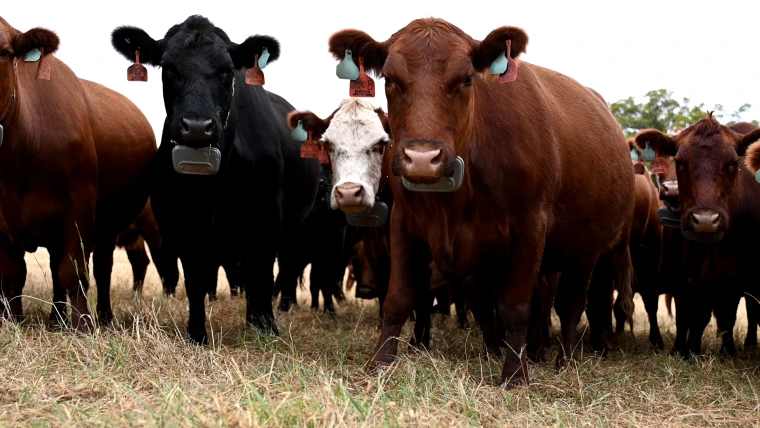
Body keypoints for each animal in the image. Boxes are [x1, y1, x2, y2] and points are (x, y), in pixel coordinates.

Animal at [0, 18, 155, 331]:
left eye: (3, 52)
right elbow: (12, 275)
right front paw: (12, 323)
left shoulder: (79, 204)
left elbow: (73, 272)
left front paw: (83, 327)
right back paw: (56, 318)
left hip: (108, 227)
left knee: (103, 269)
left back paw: (103, 317)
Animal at [110, 15, 319, 344]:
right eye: (168, 69)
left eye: (226, 71)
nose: (197, 127)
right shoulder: (181, 221)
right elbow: (195, 278)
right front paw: (196, 333)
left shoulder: (266, 214)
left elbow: (261, 273)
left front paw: (266, 328)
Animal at [327, 18, 635, 386]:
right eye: (389, 79)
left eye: (466, 79)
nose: (422, 159)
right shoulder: (403, 224)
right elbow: (398, 299)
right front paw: (379, 365)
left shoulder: (531, 228)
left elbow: (516, 308)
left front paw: (515, 376)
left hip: (586, 252)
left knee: (573, 305)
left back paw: (566, 360)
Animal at [634, 116, 760, 358]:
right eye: (680, 162)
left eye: (734, 163)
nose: (705, 220)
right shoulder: (689, 271)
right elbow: (693, 313)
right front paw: (687, 352)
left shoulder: (739, 273)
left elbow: (728, 313)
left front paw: (727, 352)